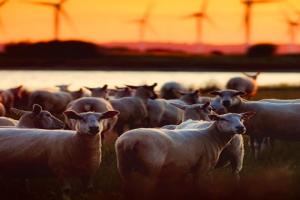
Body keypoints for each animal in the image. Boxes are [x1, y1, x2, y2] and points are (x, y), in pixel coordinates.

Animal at [116, 111, 254, 198]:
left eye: (241, 118)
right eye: (223, 119)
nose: (240, 128)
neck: (211, 136)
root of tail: (128, 141)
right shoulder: (202, 168)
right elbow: (198, 187)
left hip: (123, 167)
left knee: (126, 187)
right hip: (150, 169)